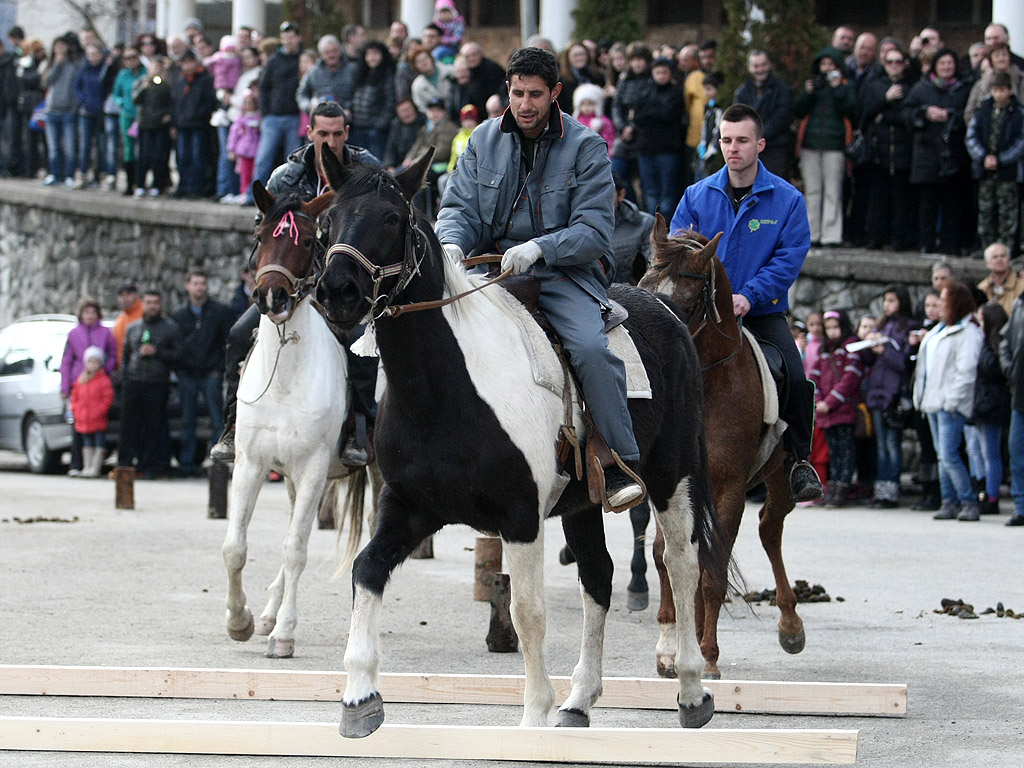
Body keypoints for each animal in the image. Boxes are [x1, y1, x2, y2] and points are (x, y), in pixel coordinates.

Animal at [311, 151, 720, 741]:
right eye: (328, 221)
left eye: (391, 218)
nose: (337, 292)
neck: (444, 391)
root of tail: (666, 312)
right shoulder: (407, 509)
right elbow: (366, 571)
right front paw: (360, 698)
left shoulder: (520, 516)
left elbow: (528, 613)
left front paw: (532, 717)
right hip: (584, 502)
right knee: (598, 577)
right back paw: (579, 701)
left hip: (673, 478)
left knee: (683, 564)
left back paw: (690, 690)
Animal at [638, 217, 798, 679]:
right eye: (643, 286)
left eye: (688, 304)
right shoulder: (671, 484)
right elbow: (665, 557)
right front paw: (669, 648)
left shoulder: (730, 489)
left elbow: (713, 573)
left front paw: (707, 656)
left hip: (780, 480)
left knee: (769, 530)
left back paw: (790, 625)